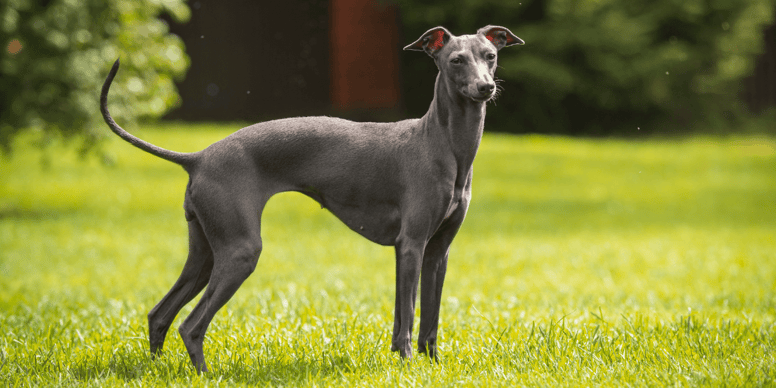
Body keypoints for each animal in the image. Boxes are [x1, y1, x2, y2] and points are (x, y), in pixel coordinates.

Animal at [98, 25, 520, 372]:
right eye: (456, 60)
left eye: (490, 55)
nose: (486, 88)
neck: (441, 144)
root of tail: (198, 157)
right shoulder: (411, 245)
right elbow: (408, 316)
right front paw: (407, 365)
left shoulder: (437, 252)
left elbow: (428, 319)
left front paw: (432, 366)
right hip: (240, 251)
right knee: (190, 324)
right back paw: (204, 375)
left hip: (205, 252)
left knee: (160, 314)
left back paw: (156, 369)